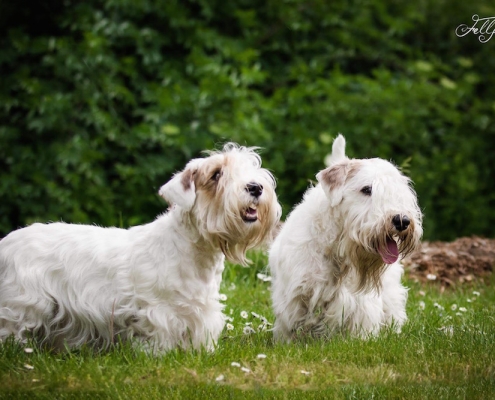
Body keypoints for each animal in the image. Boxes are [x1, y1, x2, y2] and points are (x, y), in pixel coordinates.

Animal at [0, 144, 280, 354]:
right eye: (216, 174)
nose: (255, 187)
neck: (192, 252)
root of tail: (5, 243)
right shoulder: (158, 312)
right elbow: (159, 338)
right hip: (21, 305)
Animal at [270, 134, 424, 340]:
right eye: (366, 189)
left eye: (398, 192)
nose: (402, 221)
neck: (337, 250)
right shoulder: (297, 292)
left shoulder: (361, 302)